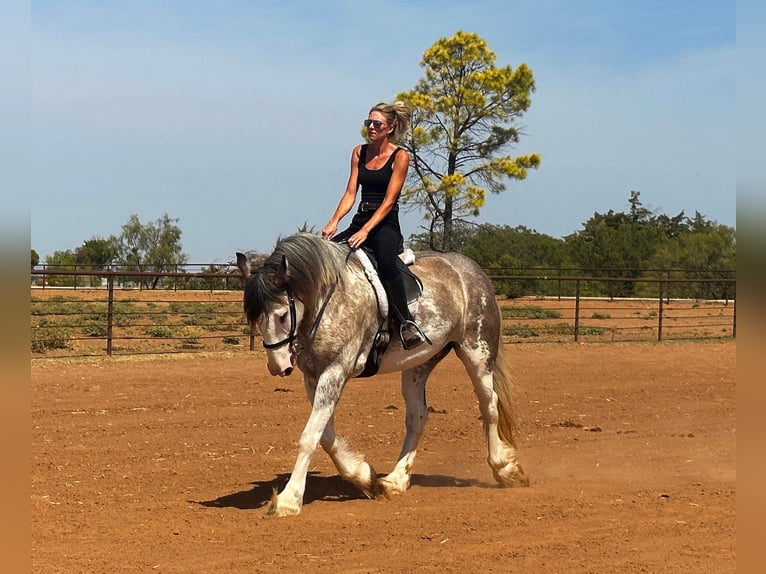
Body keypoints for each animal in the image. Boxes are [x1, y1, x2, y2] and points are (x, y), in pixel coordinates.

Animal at [237, 233, 532, 516]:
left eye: (282, 315)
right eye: (256, 317)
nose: (278, 367)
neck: (327, 299)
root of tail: (472, 270)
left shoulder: (335, 371)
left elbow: (310, 437)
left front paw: (289, 499)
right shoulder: (314, 378)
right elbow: (325, 436)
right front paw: (365, 478)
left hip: (477, 353)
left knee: (489, 405)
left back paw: (505, 469)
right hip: (419, 363)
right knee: (417, 416)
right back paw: (396, 480)